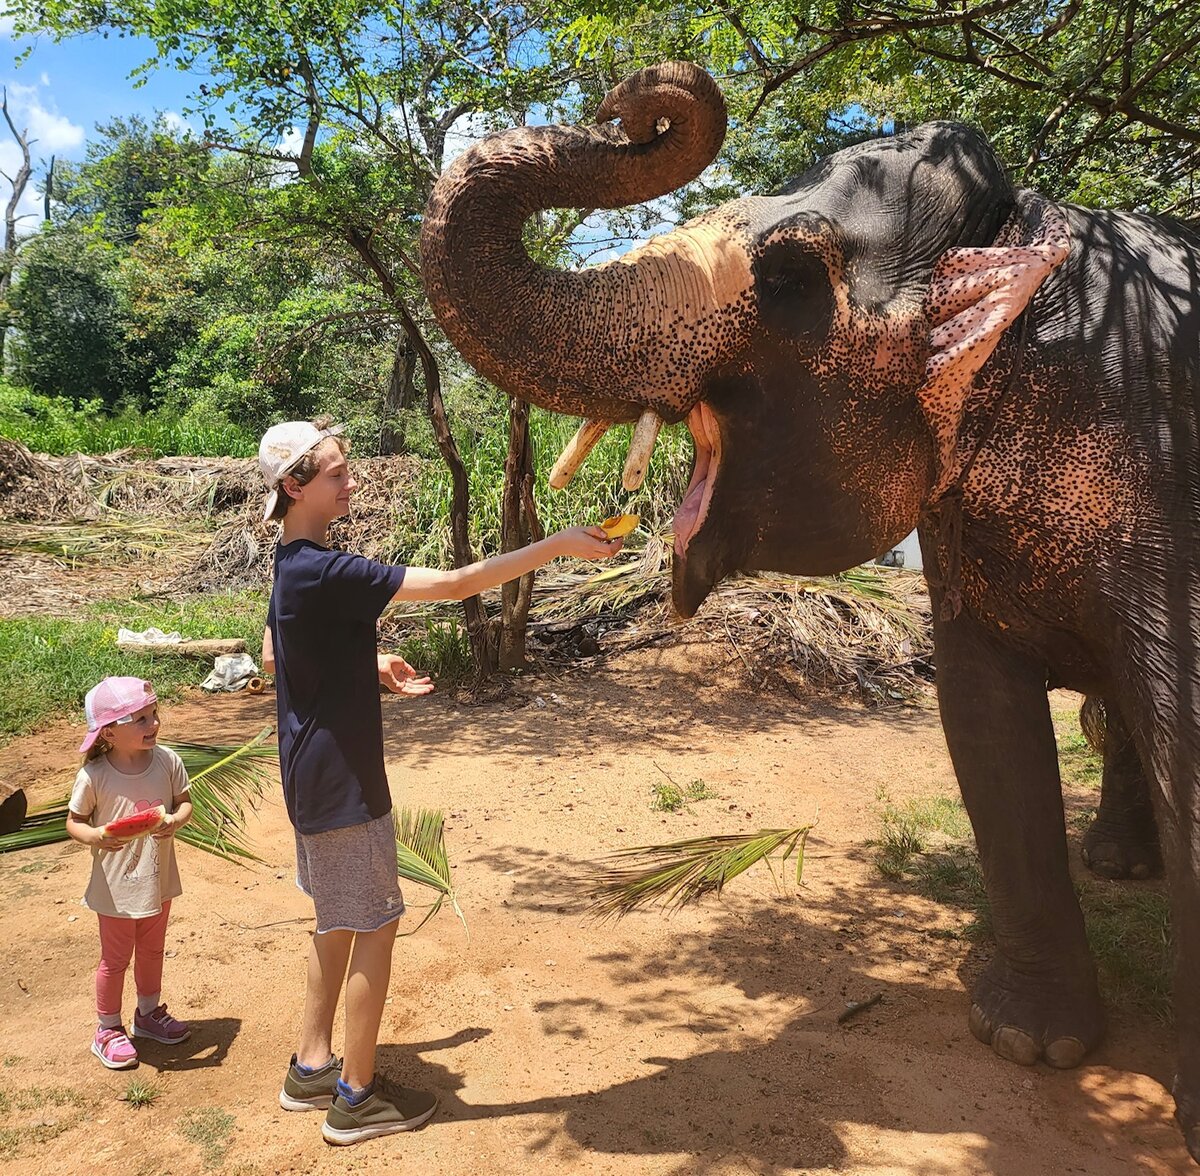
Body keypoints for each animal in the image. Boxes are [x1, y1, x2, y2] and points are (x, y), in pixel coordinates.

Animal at [420, 62, 1200, 1156]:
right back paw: (1120, 862)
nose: (633, 105)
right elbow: (983, 721)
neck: (1021, 227)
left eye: (790, 278)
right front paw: (1025, 1042)